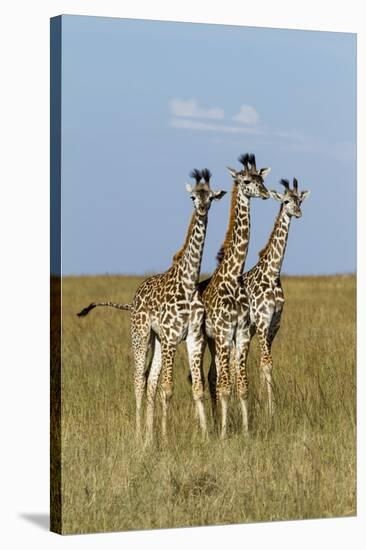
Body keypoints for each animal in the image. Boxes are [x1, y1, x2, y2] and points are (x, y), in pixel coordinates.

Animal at [78, 169, 226, 444]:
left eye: (210, 197)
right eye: (192, 197)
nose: (202, 209)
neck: (188, 282)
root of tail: (133, 299)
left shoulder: (193, 336)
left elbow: (196, 388)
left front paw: (204, 436)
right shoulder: (171, 337)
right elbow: (168, 390)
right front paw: (166, 439)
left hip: (156, 340)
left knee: (150, 385)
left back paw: (149, 436)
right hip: (141, 336)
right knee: (139, 381)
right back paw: (139, 435)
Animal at [234, 177, 312, 426]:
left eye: (299, 200)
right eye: (286, 201)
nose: (298, 212)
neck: (272, 273)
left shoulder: (274, 324)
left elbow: (264, 363)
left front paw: (263, 406)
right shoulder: (261, 321)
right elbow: (266, 363)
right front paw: (271, 411)